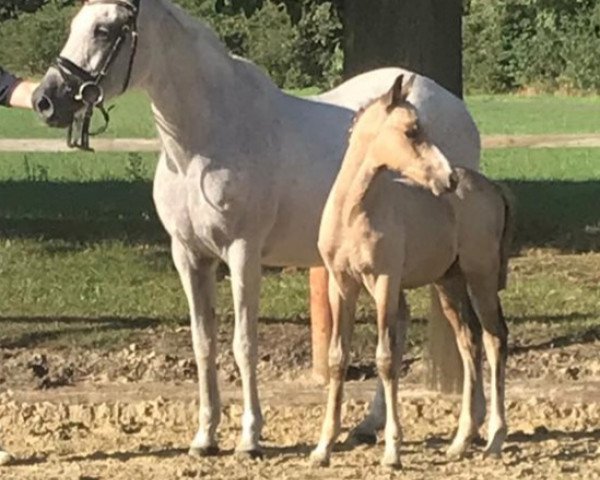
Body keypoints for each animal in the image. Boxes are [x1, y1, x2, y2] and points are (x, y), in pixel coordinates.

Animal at [22, 0, 478, 462]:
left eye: (103, 29)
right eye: (75, 24)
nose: (45, 100)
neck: (203, 145)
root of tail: (457, 108)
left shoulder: (242, 254)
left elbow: (244, 344)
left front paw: (250, 438)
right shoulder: (189, 256)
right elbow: (203, 343)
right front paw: (205, 437)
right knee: (401, 328)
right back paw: (370, 426)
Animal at [312, 76, 512, 468]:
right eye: (412, 131)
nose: (448, 180)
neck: (355, 213)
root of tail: (492, 187)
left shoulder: (385, 283)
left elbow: (386, 358)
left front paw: (392, 450)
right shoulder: (341, 285)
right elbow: (337, 358)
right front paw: (323, 448)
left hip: (480, 276)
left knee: (495, 338)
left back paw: (496, 438)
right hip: (449, 283)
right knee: (470, 342)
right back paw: (460, 441)